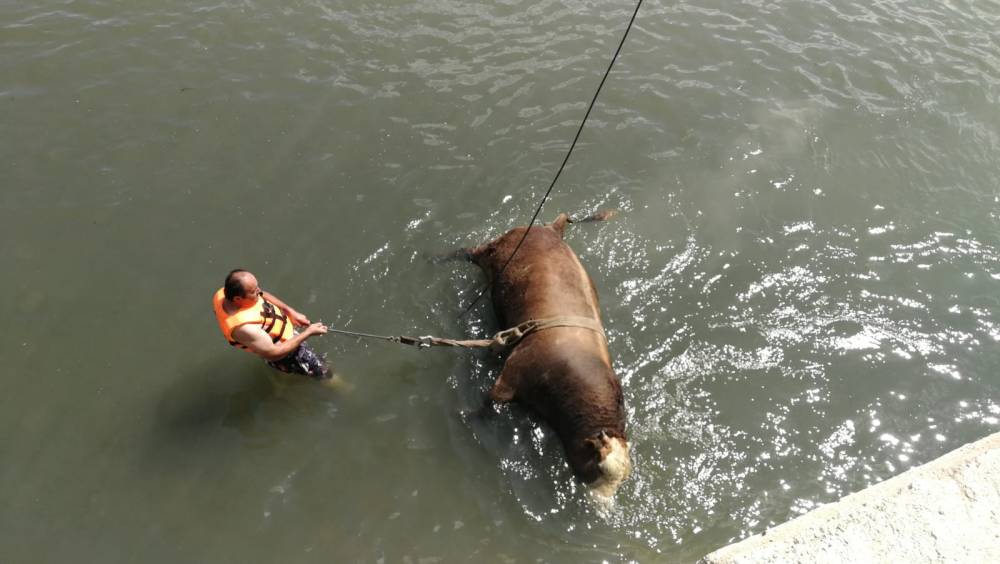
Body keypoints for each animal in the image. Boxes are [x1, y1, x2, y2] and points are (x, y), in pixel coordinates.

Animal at [462, 210, 628, 498]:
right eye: (596, 468)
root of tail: (548, 229)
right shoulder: (512, 373)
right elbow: (486, 404)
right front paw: (468, 417)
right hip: (490, 250)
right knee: (468, 252)